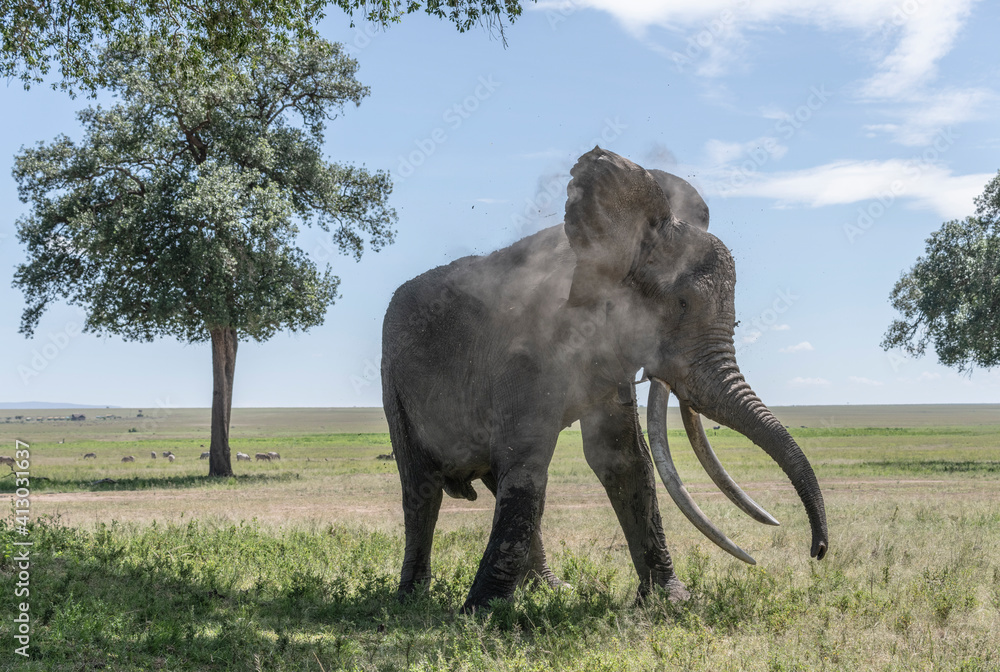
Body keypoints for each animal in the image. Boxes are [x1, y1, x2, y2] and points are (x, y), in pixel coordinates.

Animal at [381, 147, 828, 612]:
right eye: (682, 304)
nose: (818, 550)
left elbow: (623, 460)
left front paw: (669, 600)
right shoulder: (529, 350)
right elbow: (527, 461)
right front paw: (482, 613)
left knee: (495, 476)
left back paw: (552, 589)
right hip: (393, 380)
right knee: (421, 490)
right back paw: (410, 600)